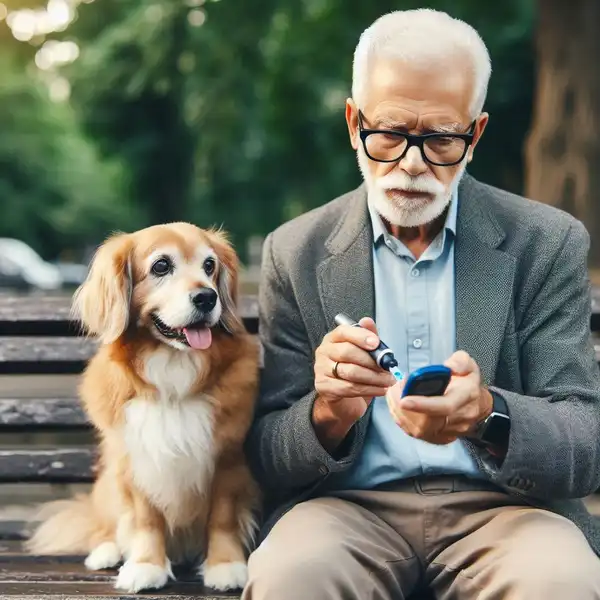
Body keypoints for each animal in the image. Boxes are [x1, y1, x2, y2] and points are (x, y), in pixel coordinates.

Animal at [26, 223, 260, 592]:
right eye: (161, 266)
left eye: (209, 266)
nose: (208, 297)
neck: (173, 370)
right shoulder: (136, 461)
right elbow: (145, 519)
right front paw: (146, 565)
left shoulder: (228, 459)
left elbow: (222, 517)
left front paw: (226, 565)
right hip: (108, 483)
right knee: (105, 525)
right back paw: (105, 551)